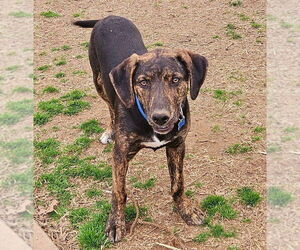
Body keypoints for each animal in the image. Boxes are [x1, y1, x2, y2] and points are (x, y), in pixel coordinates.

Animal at [74, 15, 207, 242]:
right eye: (143, 82)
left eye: (176, 79)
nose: (161, 118)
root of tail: (108, 17)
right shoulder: (120, 154)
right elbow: (119, 191)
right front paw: (116, 223)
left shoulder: (177, 145)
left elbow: (178, 184)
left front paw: (186, 210)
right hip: (99, 81)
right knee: (110, 106)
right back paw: (110, 130)